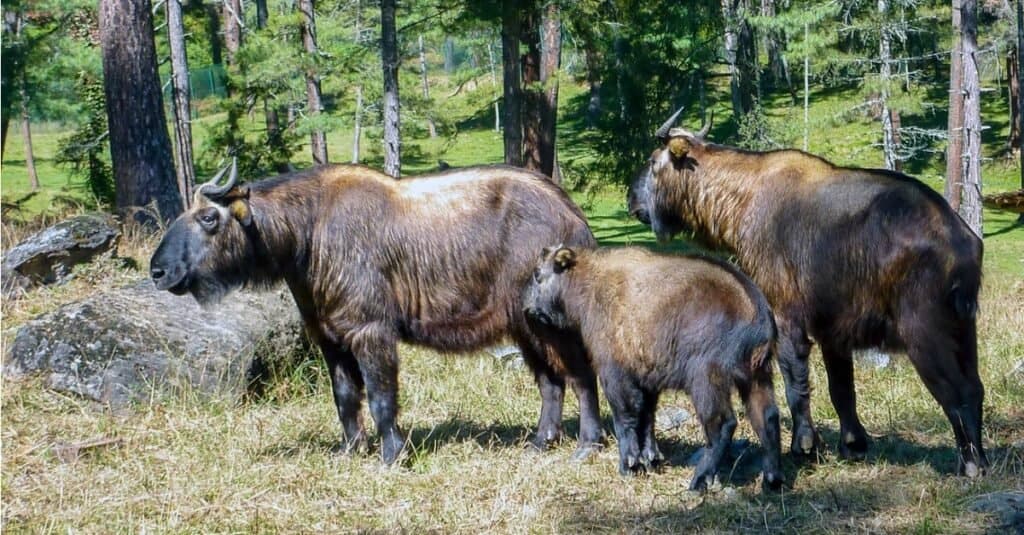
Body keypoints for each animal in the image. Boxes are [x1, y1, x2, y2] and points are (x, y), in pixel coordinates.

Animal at [524, 243, 778, 489]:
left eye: (537, 273)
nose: (526, 306)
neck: (591, 284)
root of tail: (760, 316)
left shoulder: (615, 375)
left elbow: (625, 418)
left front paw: (629, 465)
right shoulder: (647, 380)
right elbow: (646, 418)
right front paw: (651, 459)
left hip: (706, 381)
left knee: (723, 424)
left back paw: (700, 479)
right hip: (757, 379)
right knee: (768, 419)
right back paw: (772, 479)